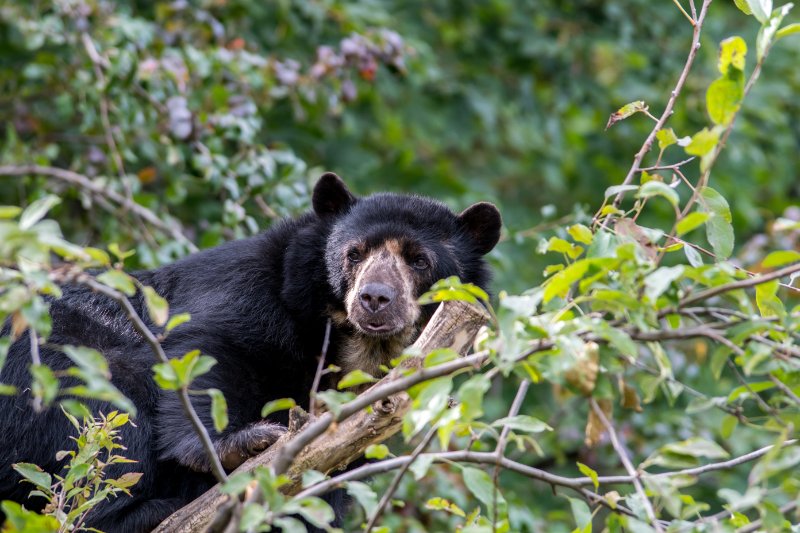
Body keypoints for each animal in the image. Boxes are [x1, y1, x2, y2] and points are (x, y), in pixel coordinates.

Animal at [0, 172, 500, 528]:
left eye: (419, 261)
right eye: (354, 253)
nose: (374, 298)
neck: (352, 346)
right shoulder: (248, 292)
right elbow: (209, 352)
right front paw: (243, 444)